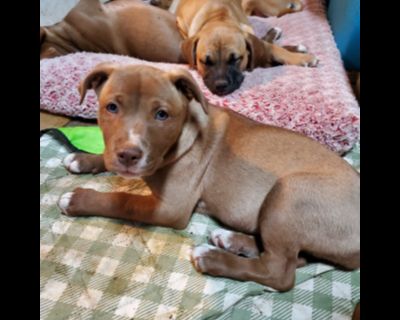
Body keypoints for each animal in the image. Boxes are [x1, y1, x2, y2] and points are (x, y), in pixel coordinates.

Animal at [58, 63, 360, 292]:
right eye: (111, 108)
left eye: (162, 114)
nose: (129, 155)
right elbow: (107, 158)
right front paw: (83, 159)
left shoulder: (170, 208)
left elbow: (123, 201)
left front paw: (77, 199)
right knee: (295, 258)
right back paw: (232, 240)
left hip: (290, 192)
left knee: (280, 273)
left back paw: (212, 258)